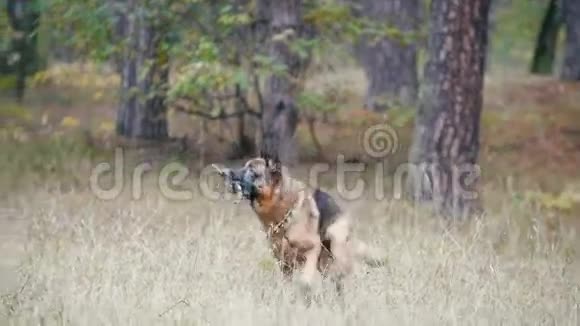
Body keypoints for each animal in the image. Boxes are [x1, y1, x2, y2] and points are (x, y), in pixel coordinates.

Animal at [213, 154, 386, 292]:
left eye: (251, 170)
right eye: (244, 166)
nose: (223, 172)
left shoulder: (312, 249)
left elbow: (305, 280)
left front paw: (305, 288)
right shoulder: (284, 264)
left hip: (336, 249)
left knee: (343, 274)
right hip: (324, 263)